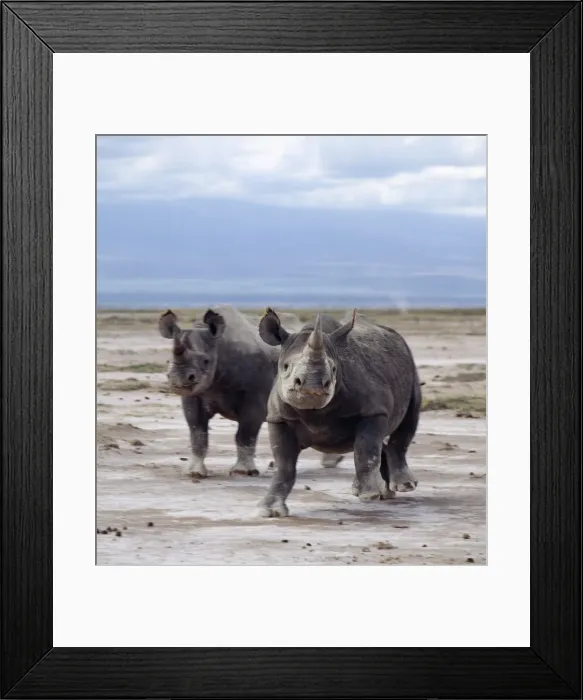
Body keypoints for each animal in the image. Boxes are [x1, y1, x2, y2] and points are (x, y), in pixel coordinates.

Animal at [158, 305, 343, 478]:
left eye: (206, 360)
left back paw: (330, 463)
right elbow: (197, 432)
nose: (178, 378)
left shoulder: (255, 397)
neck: (219, 347)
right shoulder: (195, 394)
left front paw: (243, 472)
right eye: (170, 357)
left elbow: (245, 434)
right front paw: (194, 473)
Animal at [256, 308, 421, 517]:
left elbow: (365, 449)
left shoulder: (373, 411)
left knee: (406, 422)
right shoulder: (278, 418)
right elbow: (284, 465)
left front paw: (369, 495)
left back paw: (402, 487)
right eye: (285, 366)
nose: (313, 387)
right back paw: (385, 493)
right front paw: (270, 511)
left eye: (334, 369)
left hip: (410, 366)